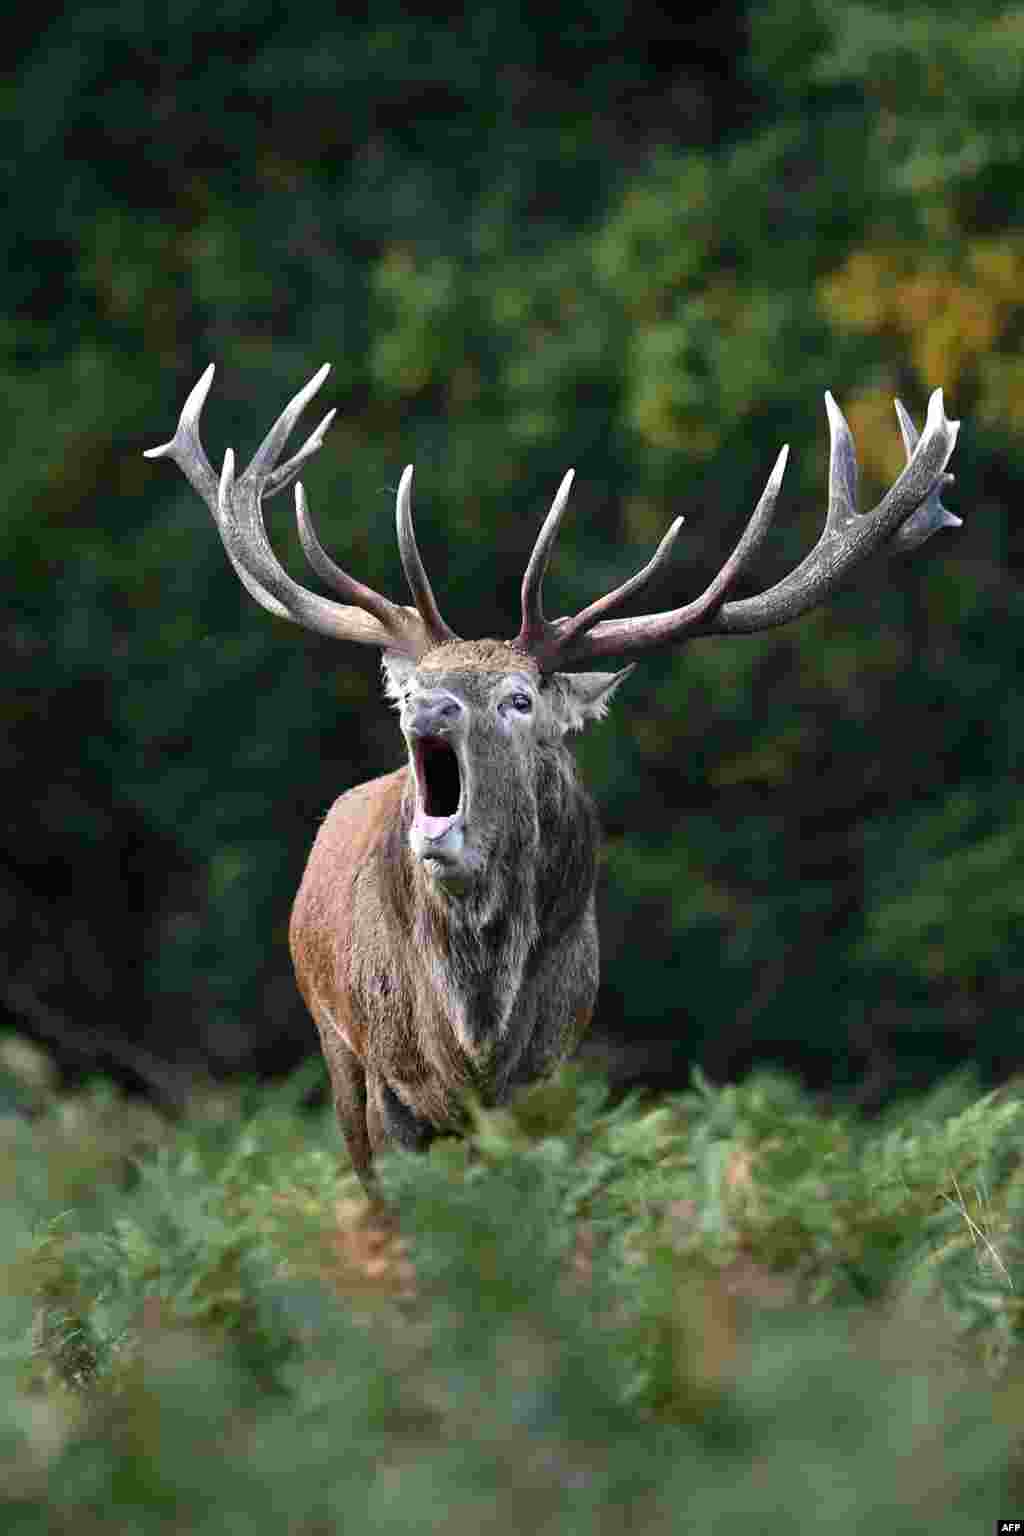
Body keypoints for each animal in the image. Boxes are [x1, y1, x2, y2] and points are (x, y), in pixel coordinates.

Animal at [146, 365, 960, 1192]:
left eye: (520, 699)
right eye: (411, 692)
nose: (429, 708)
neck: (475, 1031)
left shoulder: (545, 1076)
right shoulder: (386, 1078)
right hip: (336, 1045)